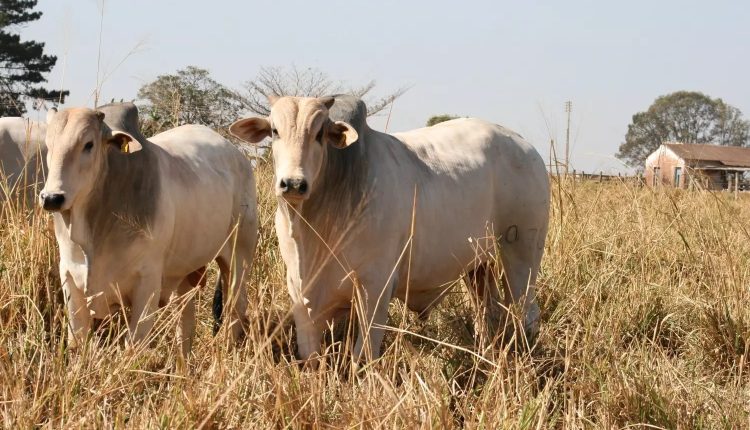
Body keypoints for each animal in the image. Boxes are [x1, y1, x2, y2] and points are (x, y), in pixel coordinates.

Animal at [41, 104, 258, 356]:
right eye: (48, 144)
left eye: (88, 144)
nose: (52, 198)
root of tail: (238, 155)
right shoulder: (69, 278)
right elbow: (77, 342)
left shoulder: (147, 283)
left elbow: (134, 345)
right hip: (184, 273)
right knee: (185, 322)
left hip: (239, 256)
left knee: (236, 308)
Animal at [231, 95, 552, 362]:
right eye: (275, 131)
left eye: (320, 133)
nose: (294, 184)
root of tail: (525, 147)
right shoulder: (300, 294)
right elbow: (310, 357)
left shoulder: (376, 287)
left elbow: (363, 355)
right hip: (478, 264)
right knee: (487, 312)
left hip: (522, 253)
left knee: (527, 312)